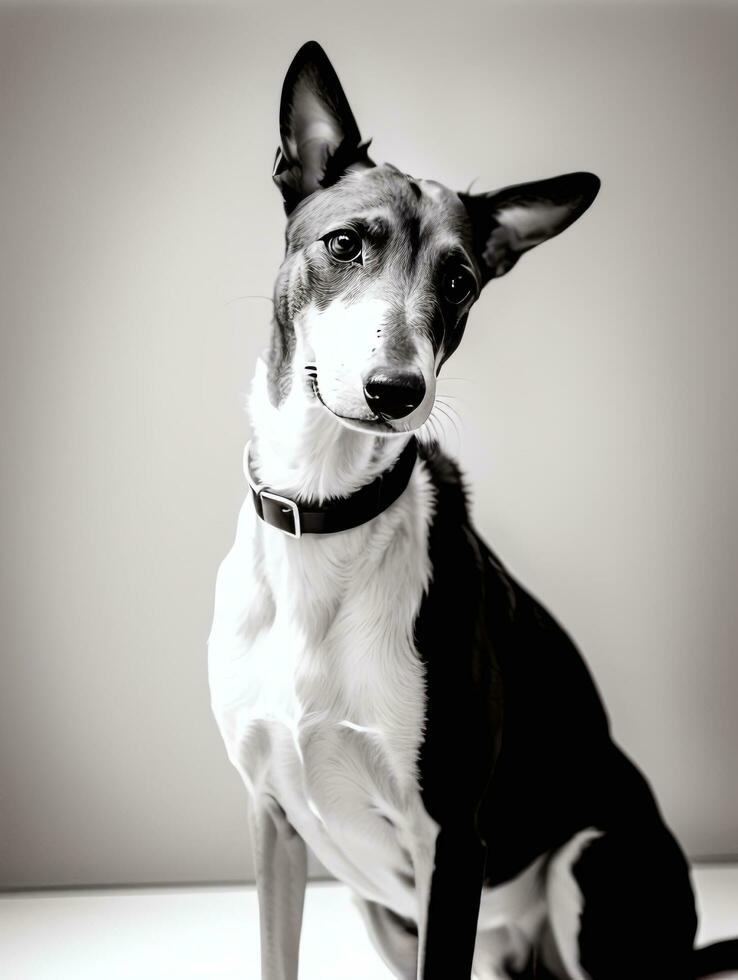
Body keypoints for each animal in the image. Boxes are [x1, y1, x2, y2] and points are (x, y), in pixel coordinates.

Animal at [207, 40, 736, 980]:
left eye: (458, 280)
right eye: (344, 243)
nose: (396, 390)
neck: (327, 510)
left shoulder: (451, 841)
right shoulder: (272, 819)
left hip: (589, 862)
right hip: (391, 917)